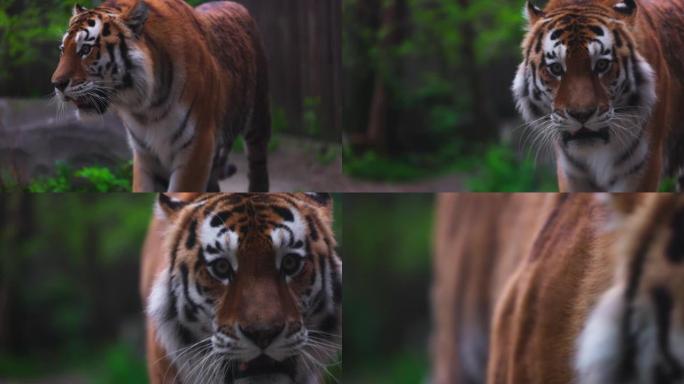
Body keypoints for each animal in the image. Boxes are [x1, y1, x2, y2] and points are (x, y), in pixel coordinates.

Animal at [50, 0, 270, 192]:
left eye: (86, 49)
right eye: (62, 50)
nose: (56, 84)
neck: (146, 108)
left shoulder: (198, 146)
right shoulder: (145, 154)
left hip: (257, 120)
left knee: (258, 166)